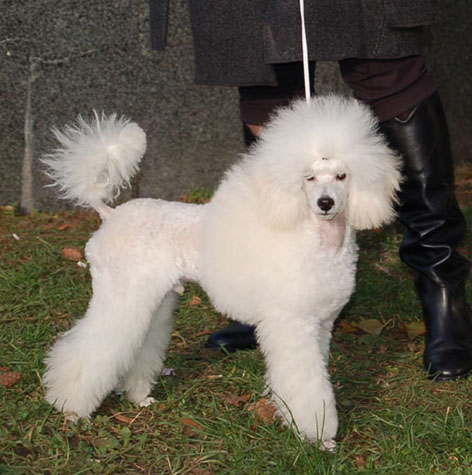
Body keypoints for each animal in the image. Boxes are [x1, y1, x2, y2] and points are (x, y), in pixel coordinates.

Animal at [41, 95, 402, 449]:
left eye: (342, 176)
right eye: (308, 178)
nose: (325, 203)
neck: (317, 241)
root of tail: (109, 214)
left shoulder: (323, 324)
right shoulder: (293, 325)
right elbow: (306, 385)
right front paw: (317, 434)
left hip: (154, 300)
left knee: (137, 345)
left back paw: (138, 396)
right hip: (122, 293)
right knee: (90, 349)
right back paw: (71, 409)